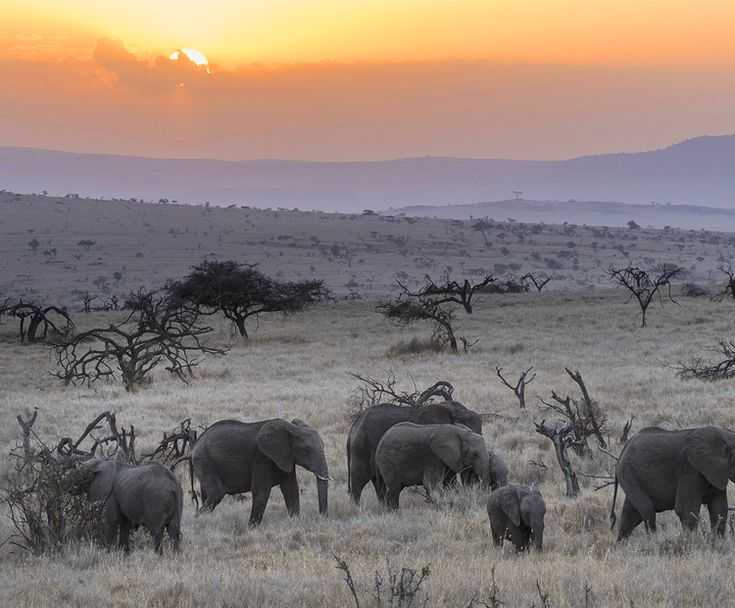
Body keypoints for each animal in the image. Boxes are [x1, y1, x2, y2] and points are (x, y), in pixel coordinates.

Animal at [191, 418, 330, 528]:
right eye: (307, 450)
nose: (321, 517)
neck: (291, 429)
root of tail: (196, 444)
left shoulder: (285, 458)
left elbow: (291, 489)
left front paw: (295, 522)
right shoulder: (262, 457)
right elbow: (261, 491)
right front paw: (251, 529)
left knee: (207, 494)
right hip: (205, 462)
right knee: (217, 493)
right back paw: (197, 523)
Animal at [346, 402, 484, 506]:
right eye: (472, 453)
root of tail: (355, 425)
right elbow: (449, 478)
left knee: (378, 483)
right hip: (361, 448)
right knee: (359, 480)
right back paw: (356, 509)